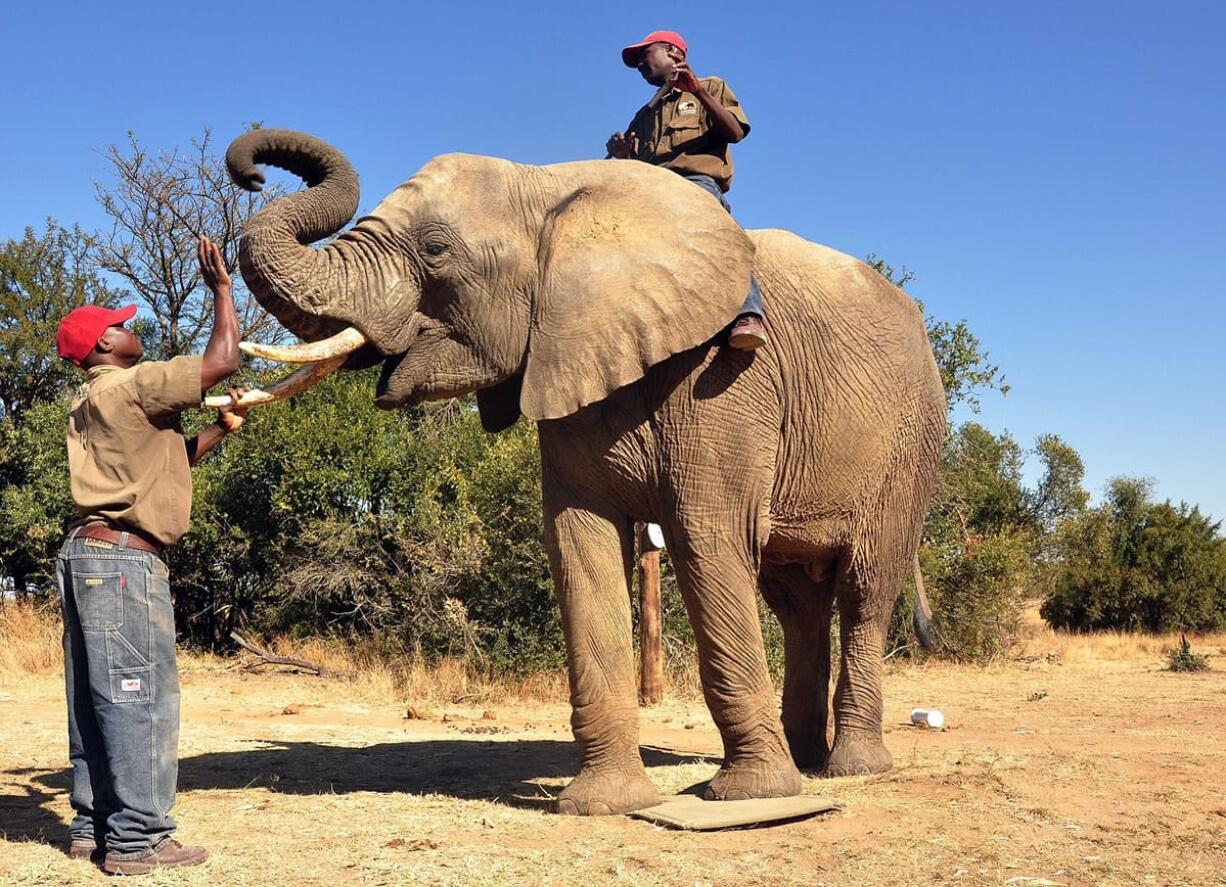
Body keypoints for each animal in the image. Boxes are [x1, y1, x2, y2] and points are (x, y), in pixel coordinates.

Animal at [225, 128, 941, 814]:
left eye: (434, 250)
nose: (253, 173)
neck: (551, 191)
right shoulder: (562, 359)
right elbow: (579, 544)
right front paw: (603, 806)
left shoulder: (722, 380)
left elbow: (706, 540)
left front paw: (749, 797)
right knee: (795, 601)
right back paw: (805, 760)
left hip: (908, 445)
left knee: (863, 588)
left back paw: (848, 769)